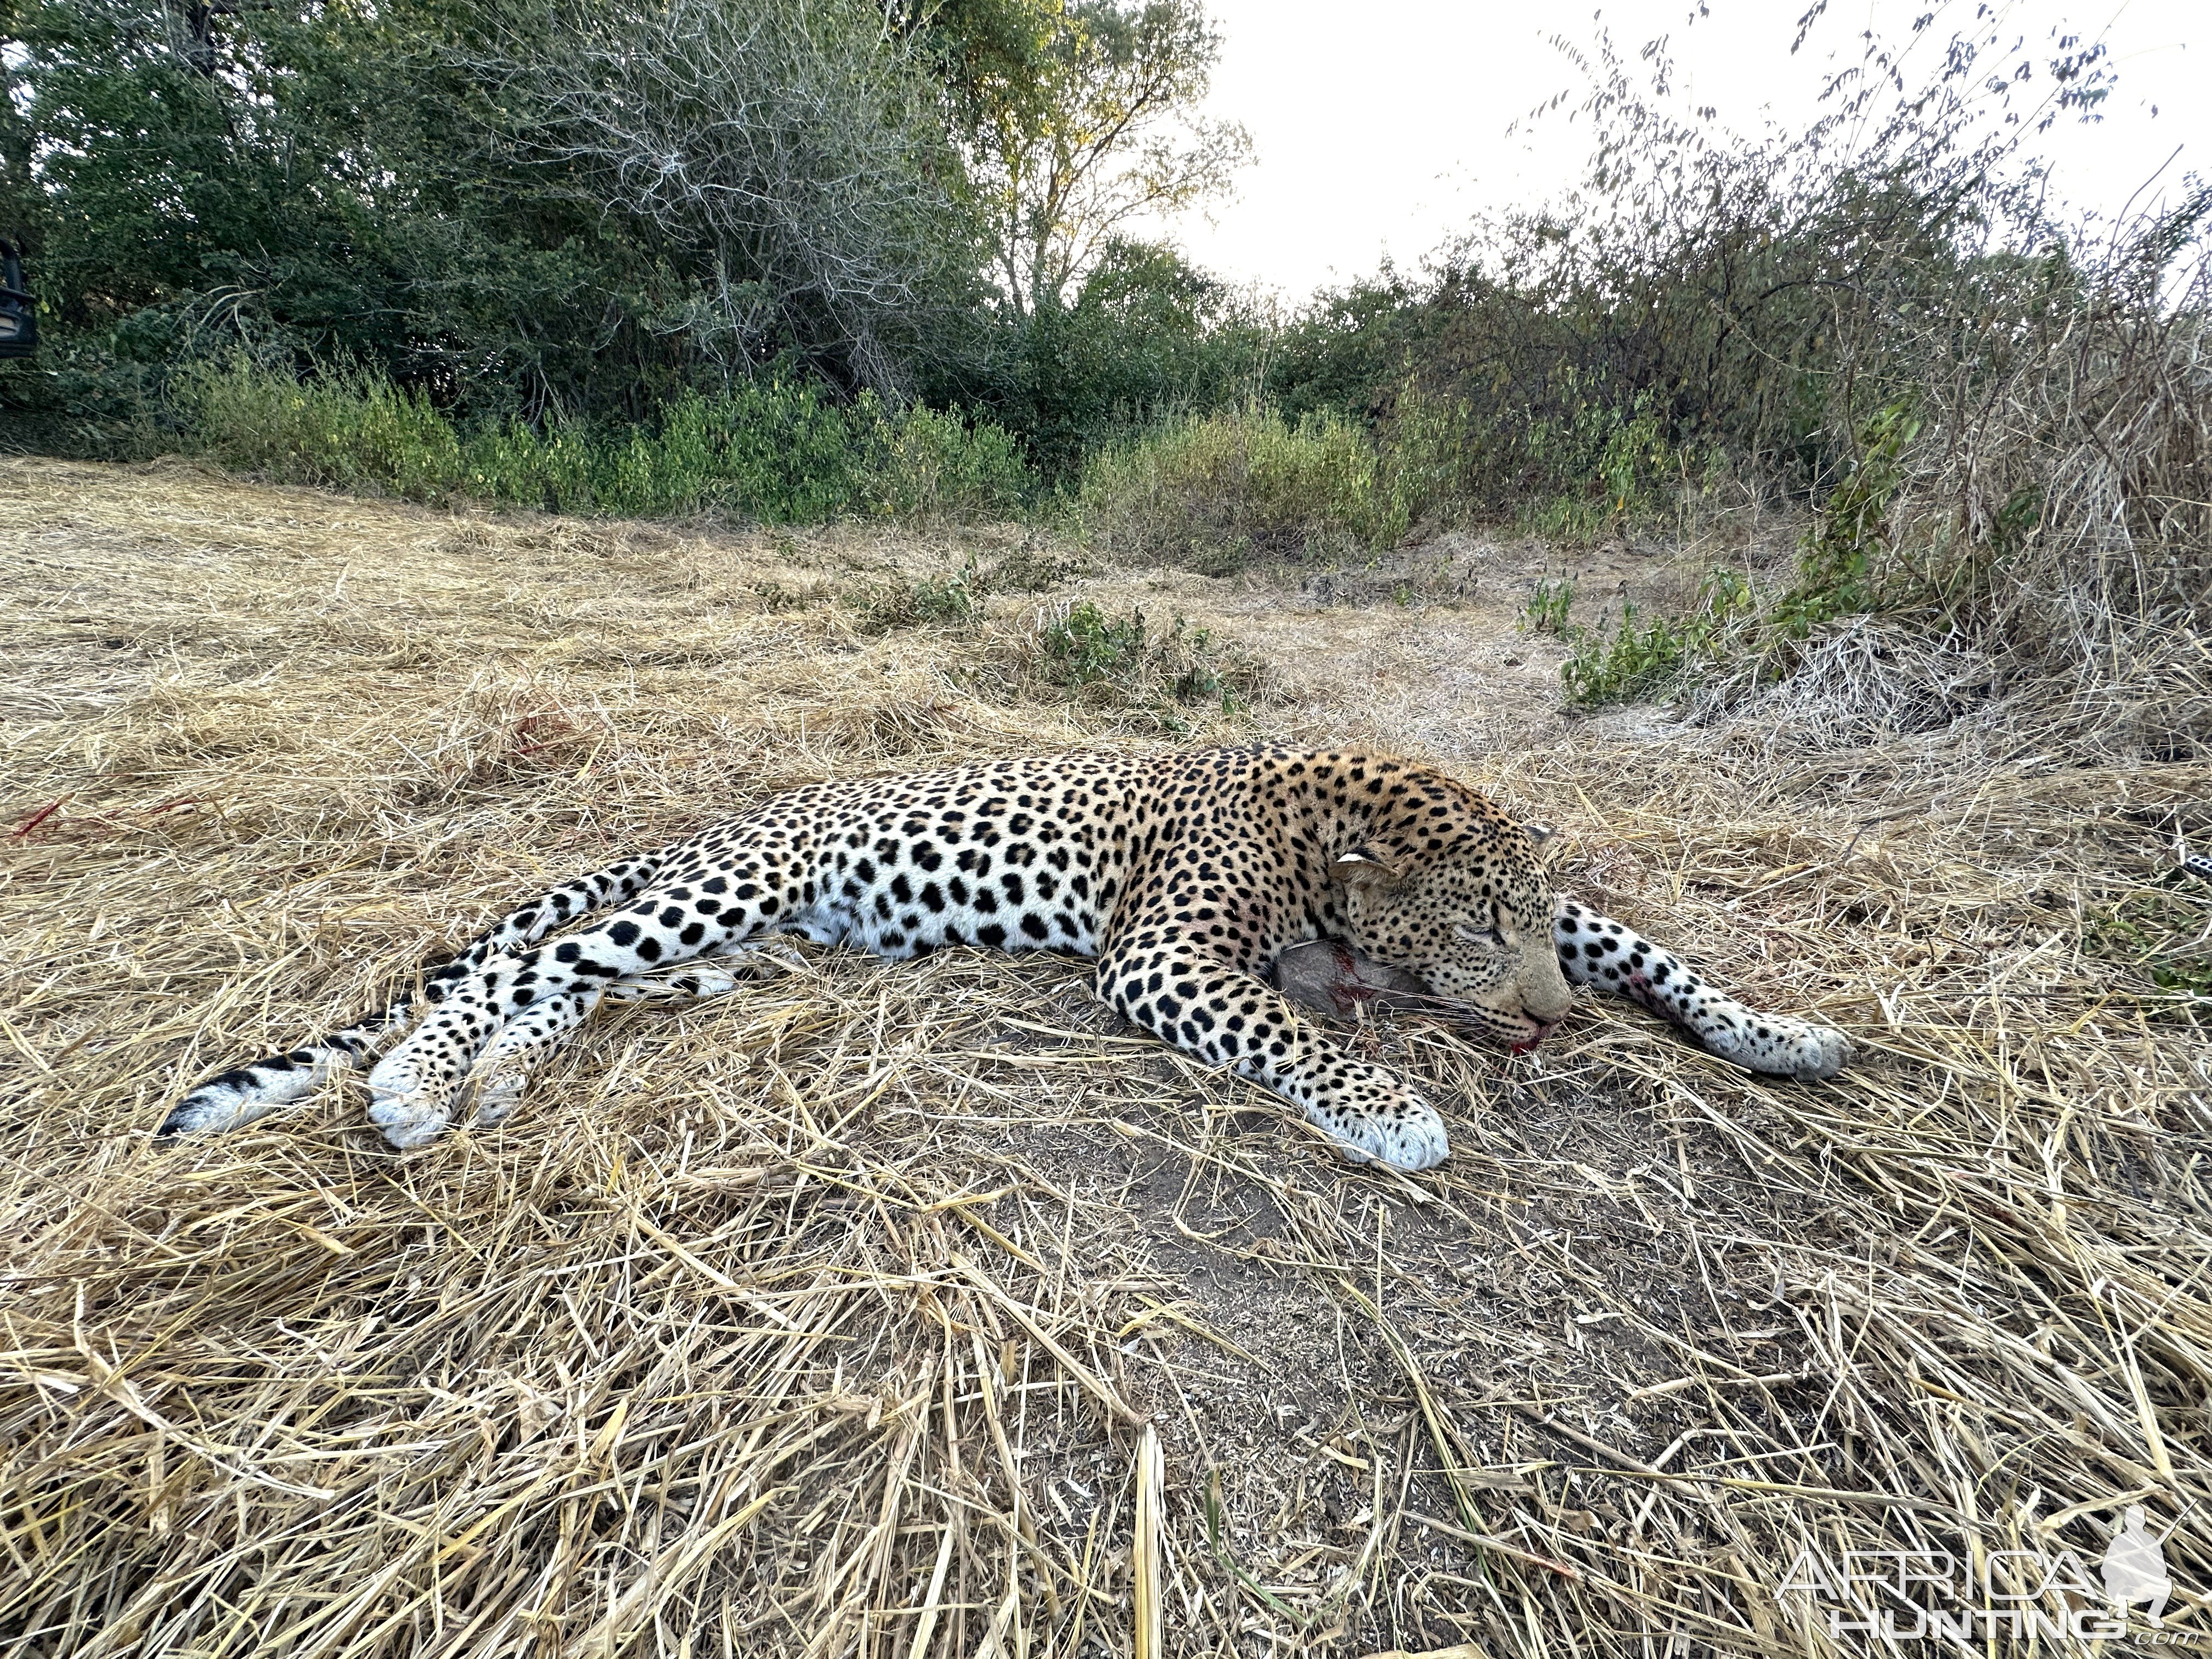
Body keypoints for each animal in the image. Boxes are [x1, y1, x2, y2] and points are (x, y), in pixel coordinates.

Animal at [160, 747, 1849, 1177]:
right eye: (1476, 928)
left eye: (1521, 920)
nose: (1555, 1033)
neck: (1331, 837)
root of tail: (726, 819)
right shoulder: (1165, 955)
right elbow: (1297, 1033)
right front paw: (1392, 1112)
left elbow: (1651, 950)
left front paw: (1780, 1030)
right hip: (722, 893)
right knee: (519, 965)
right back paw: (416, 1083)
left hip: (736, 948)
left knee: (569, 987)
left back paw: (494, 1084)